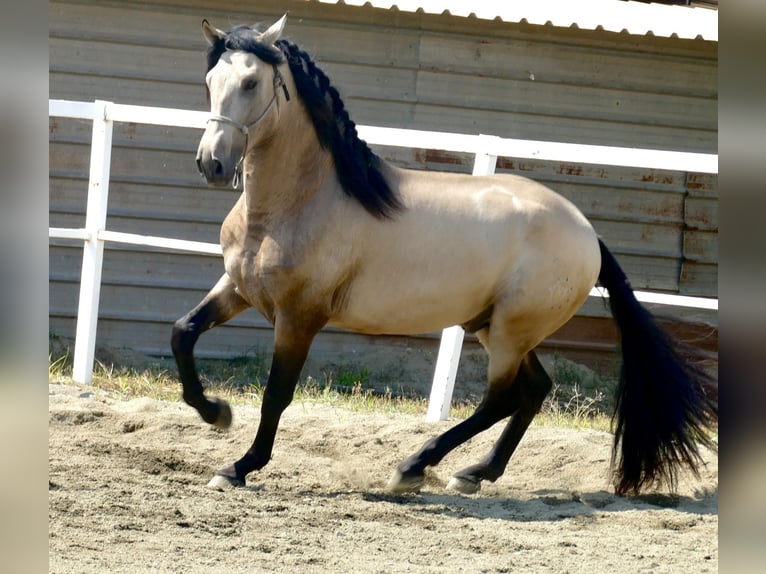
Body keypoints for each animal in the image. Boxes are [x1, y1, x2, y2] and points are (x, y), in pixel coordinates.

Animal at [172, 13, 720, 500]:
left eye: (251, 81)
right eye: (211, 80)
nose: (212, 164)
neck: (302, 203)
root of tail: (586, 232)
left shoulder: (299, 316)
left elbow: (276, 394)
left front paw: (239, 467)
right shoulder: (238, 289)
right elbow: (183, 332)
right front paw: (215, 412)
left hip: (511, 330)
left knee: (500, 399)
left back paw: (414, 467)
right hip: (496, 326)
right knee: (535, 390)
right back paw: (475, 473)